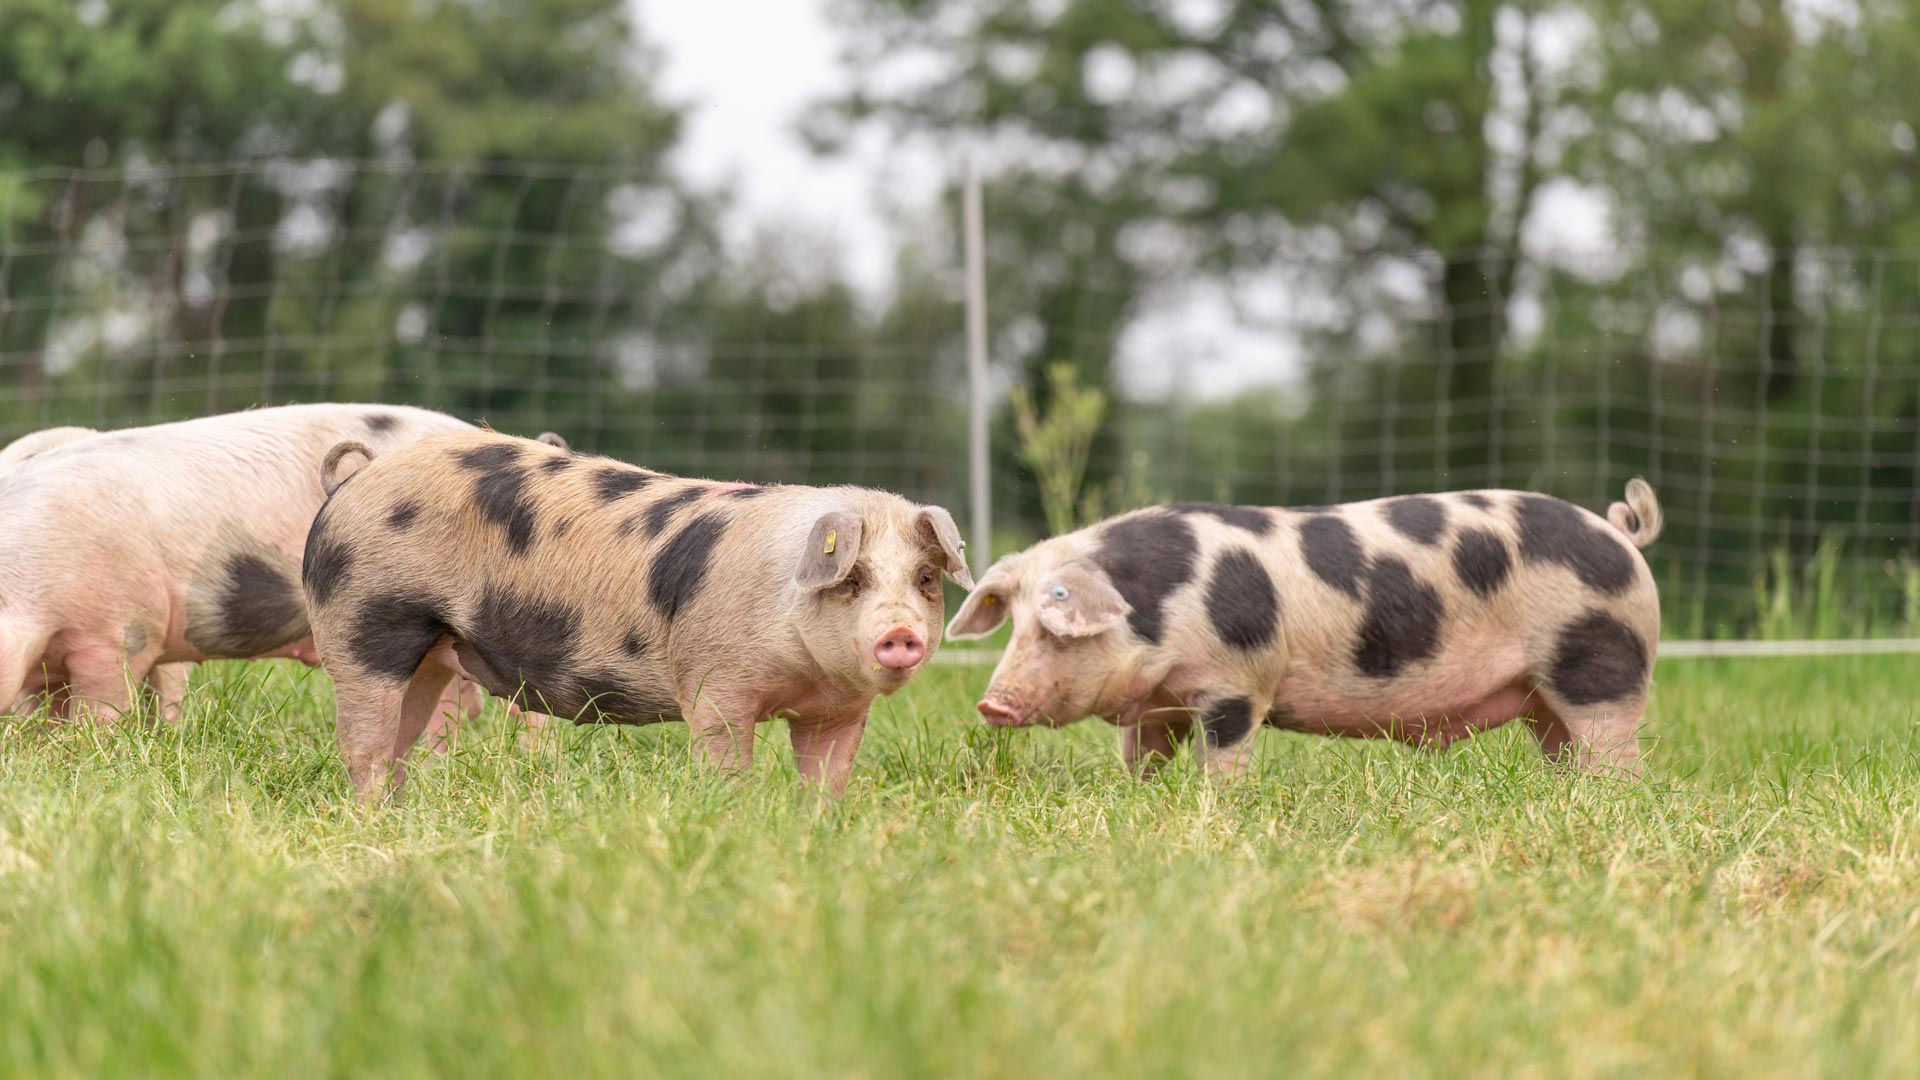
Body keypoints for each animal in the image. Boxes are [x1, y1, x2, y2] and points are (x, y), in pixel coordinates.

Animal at [300, 430, 973, 801]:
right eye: (853, 579)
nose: (900, 634)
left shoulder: (839, 709)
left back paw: (399, 816)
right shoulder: (714, 683)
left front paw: (817, 830)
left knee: (399, 741)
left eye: (924, 579)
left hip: (432, 651)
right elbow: (724, 758)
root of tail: (356, 478)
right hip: (365, 621)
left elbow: (828, 779)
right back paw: (371, 818)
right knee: (362, 744)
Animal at [946, 481, 1664, 777]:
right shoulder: (1157, 703)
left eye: (1053, 629)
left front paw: (1216, 805)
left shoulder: (1238, 682)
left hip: (1602, 665)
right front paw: (1139, 796)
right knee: (1562, 748)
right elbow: (1141, 754)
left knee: (1613, 750)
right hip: (1544, 698)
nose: (991, 703)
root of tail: (1621, 537)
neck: (1163, 606)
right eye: (1013, 626)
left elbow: (1225, 755)